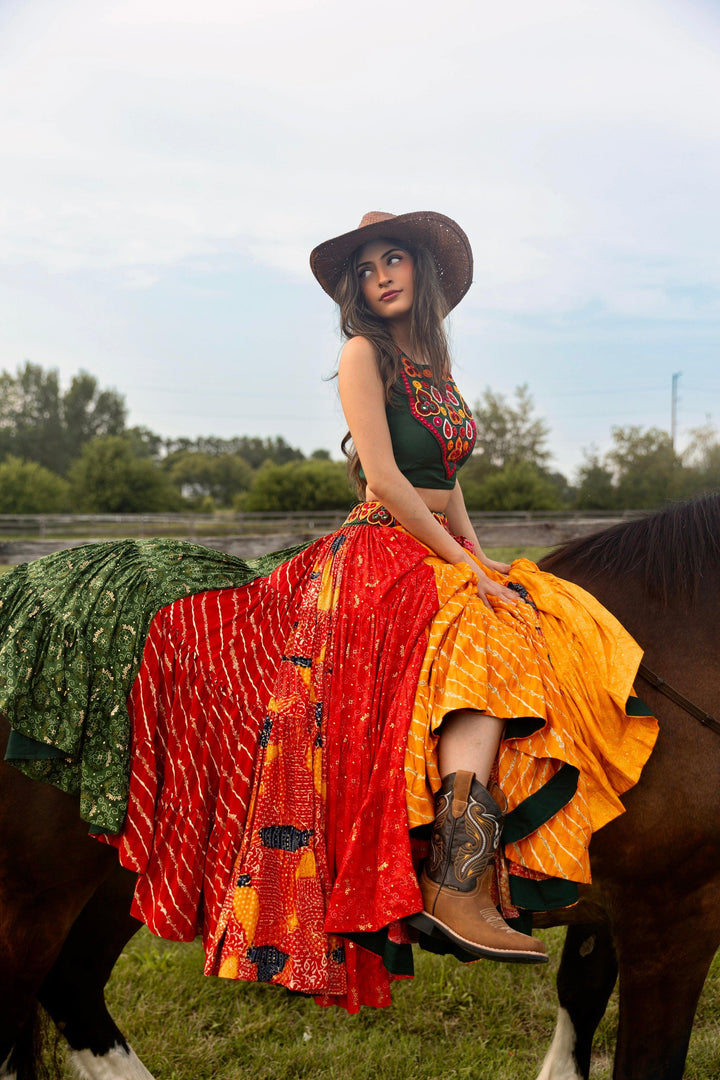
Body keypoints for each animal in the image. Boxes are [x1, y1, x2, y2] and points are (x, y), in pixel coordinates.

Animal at [1, 496, 720, 1080]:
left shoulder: (609, 907)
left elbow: (579, 999)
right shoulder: (673, 916)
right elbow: (649, 1060)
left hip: (126, 870)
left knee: (71, 987)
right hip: (32, 897)